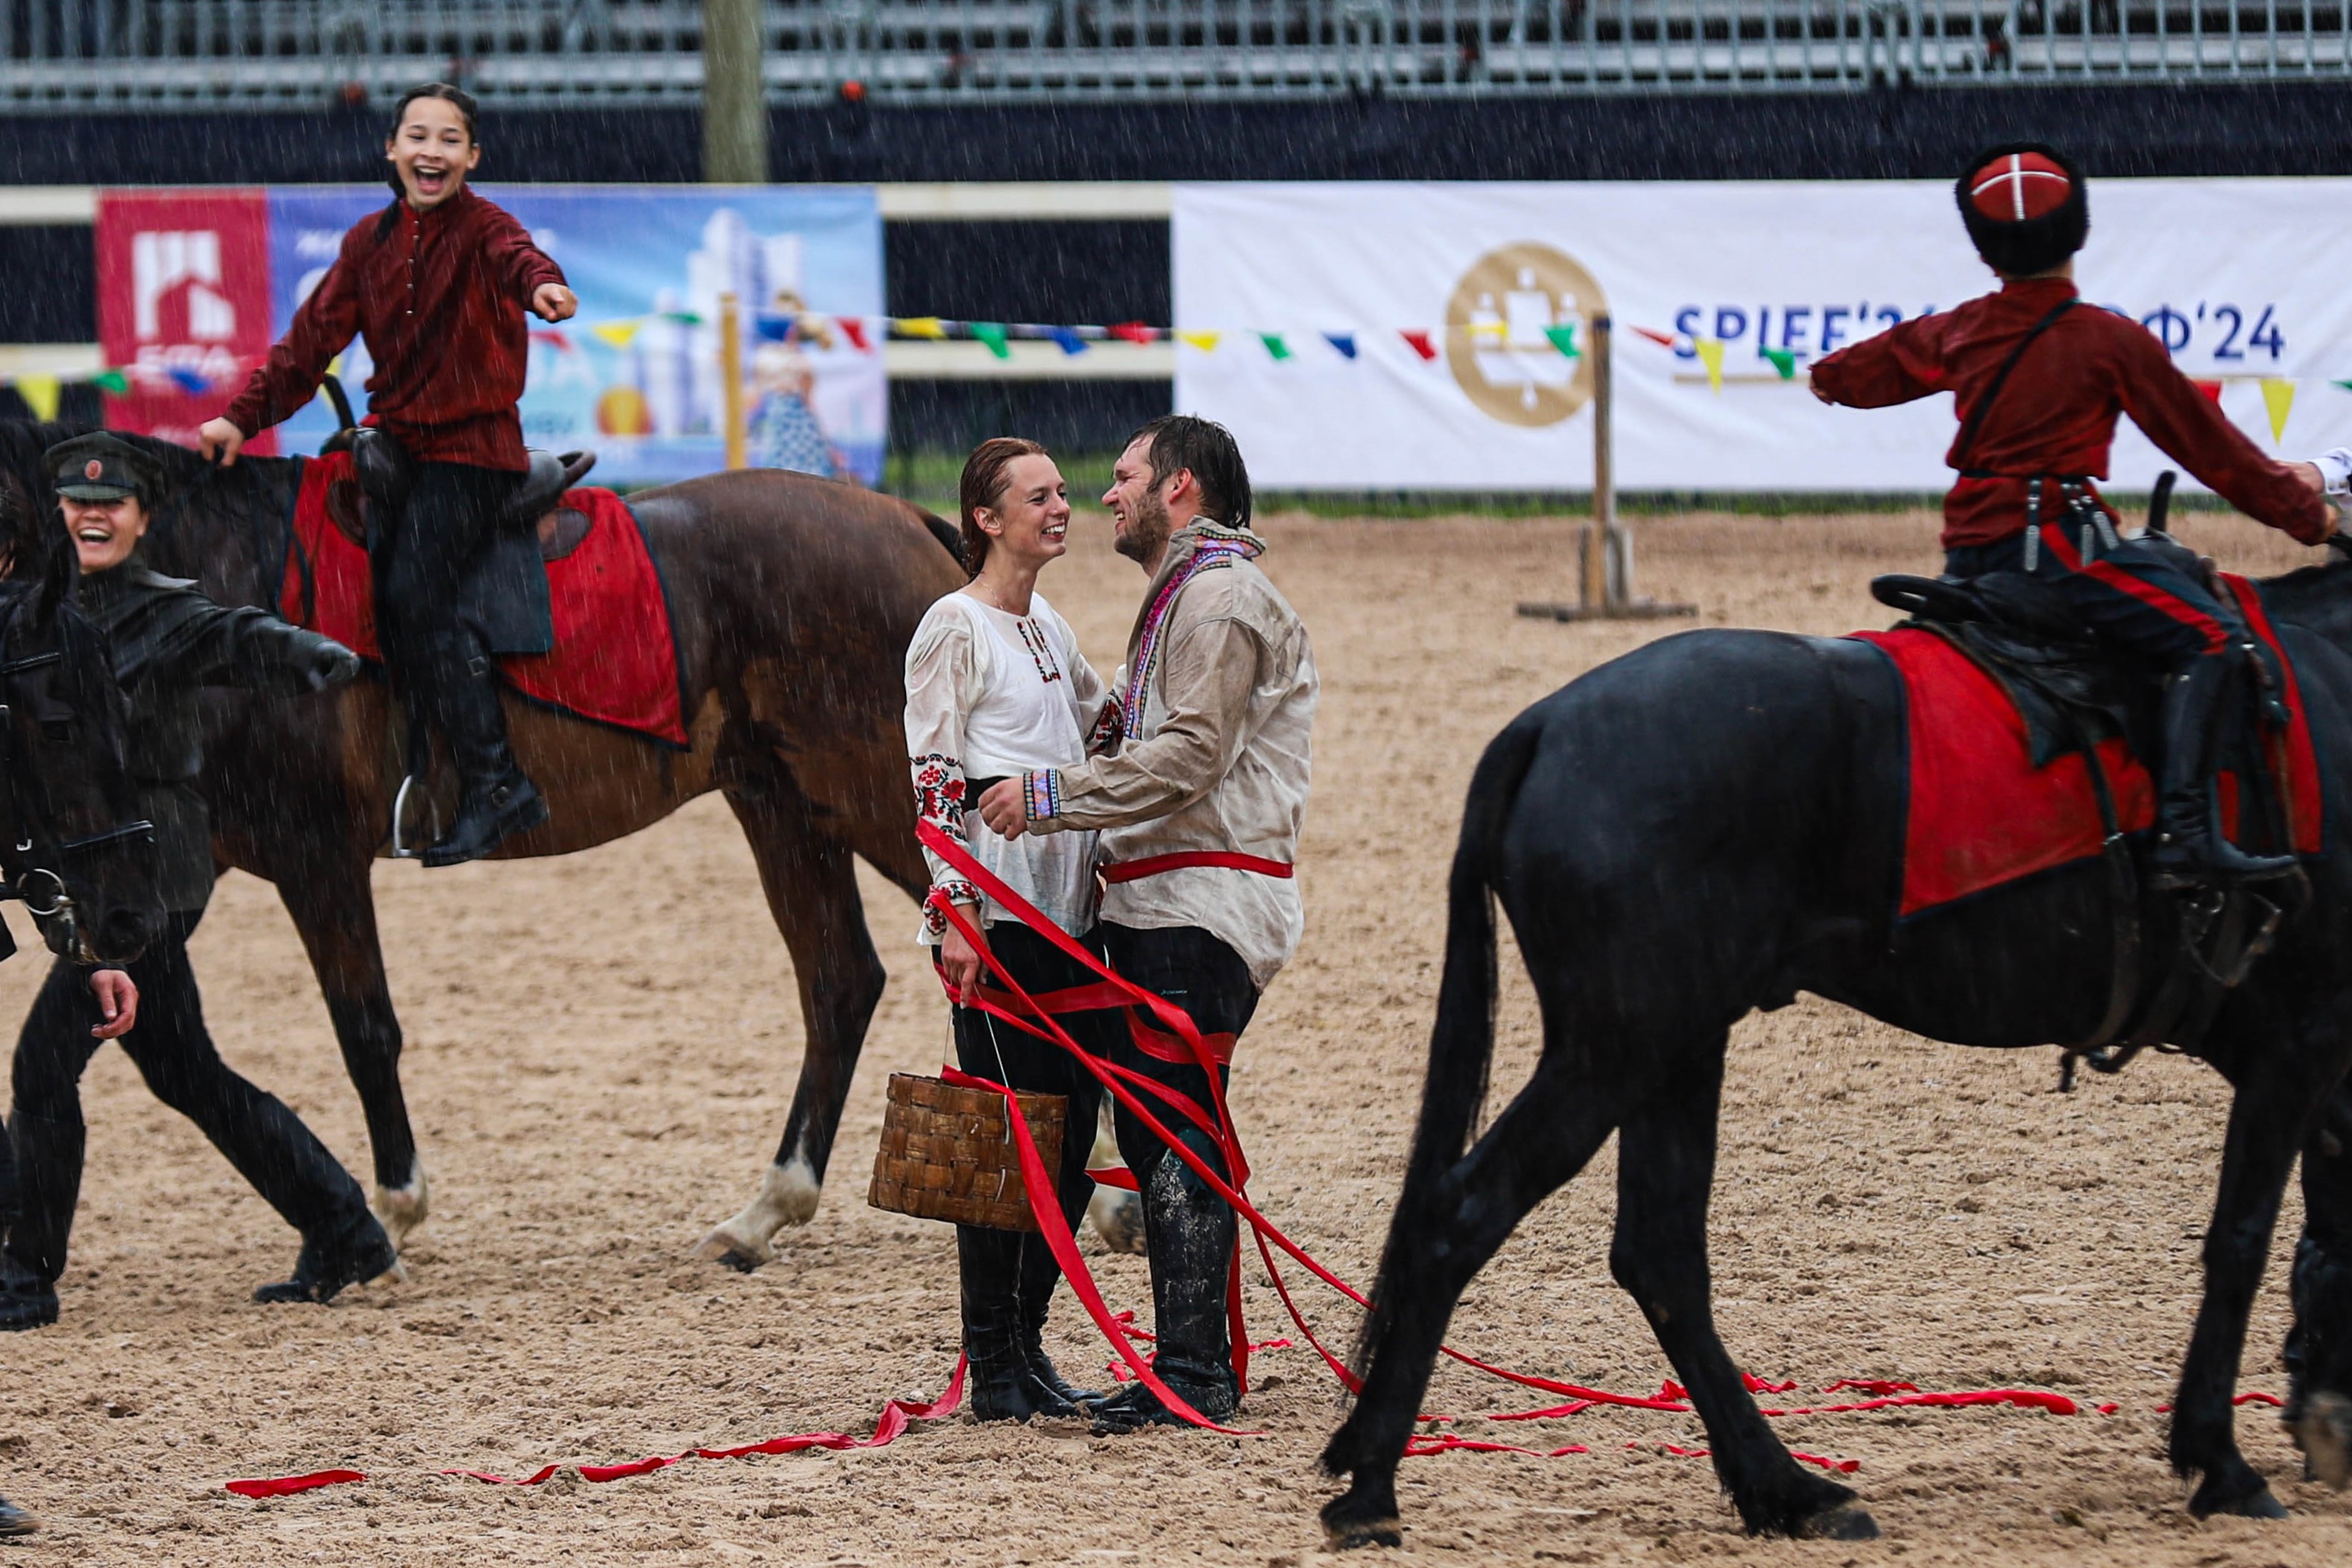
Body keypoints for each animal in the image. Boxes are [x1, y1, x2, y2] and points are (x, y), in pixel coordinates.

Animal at [0, 420, 964, 1279]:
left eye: (61, 711)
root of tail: (909, 522)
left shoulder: (315, 855)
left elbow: (365, 1029)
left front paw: (390, 1215)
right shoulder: (178, 863)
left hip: (875, 797)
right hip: (783, 806)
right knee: (841, 981)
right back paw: (761, 1214)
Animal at [1317, 554, 2352, 1542]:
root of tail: (1543, 725)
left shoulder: (2310, 1063)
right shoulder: (2296, 1045)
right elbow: (2242, 1241)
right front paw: (2224, 1461)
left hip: (1676, 1047)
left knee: (1658, 1254)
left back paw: (1785, 1489)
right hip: (1616, 1050)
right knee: (1463, 1216)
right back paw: (1373, 1492)